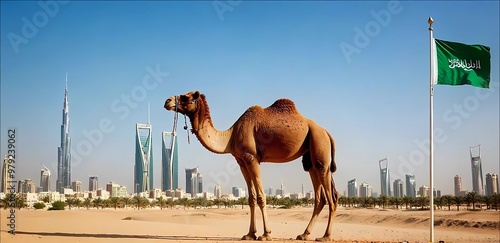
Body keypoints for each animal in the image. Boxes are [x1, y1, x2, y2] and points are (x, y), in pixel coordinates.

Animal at [164, 91, 340, 241]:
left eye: (186, 96)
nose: (167, 101)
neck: (230, 136)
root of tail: (327, 133)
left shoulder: (252, 158)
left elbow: (261, 196)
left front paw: (266, 234)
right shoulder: (242, 161)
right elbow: (251, 198)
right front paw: (250, 234)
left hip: (319, 146)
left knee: (331, 196)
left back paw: (326, 236)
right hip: (309, 157)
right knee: (321, 197)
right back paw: (304, 234)